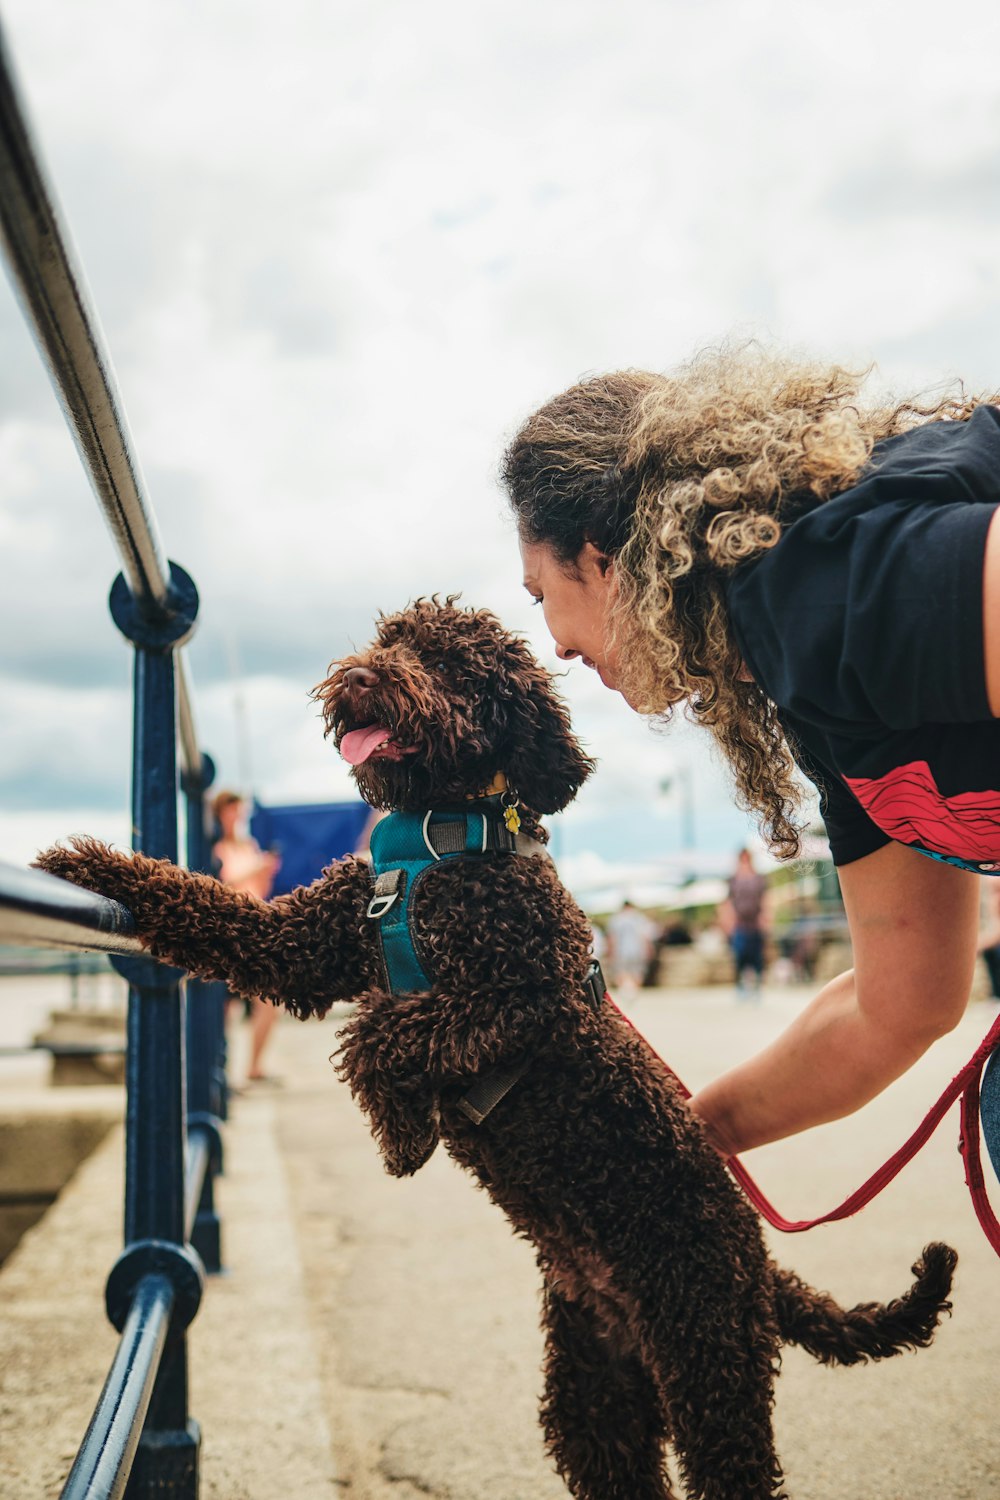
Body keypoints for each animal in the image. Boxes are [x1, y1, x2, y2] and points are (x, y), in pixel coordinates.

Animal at [39, 597, 959, 1500]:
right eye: (389, 639)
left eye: (449, 663)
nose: (364, 676)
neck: (441, 835)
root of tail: (760, 1262)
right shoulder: (303, 945)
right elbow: (205, 906)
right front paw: (86, 864)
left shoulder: (526, 995)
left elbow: (380, 1032)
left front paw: (401, 1134)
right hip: (595, 1388)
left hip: (707, 1353)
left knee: (735, 1468)